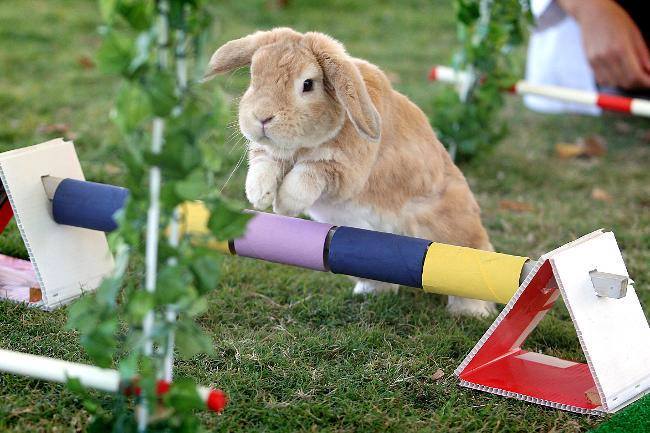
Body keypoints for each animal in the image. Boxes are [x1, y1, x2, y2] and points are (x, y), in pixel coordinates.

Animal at [205, 27, 494, 318]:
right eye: (254, 76)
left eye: (307, 84)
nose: (262, 118)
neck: (303, 145)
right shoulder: (269, 153)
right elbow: (263, 166)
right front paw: (259, 196)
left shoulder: (340, 171)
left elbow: (307, 175)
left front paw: (284, 204)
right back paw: (369, 292)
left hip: (456, 241)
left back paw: (471, 312)